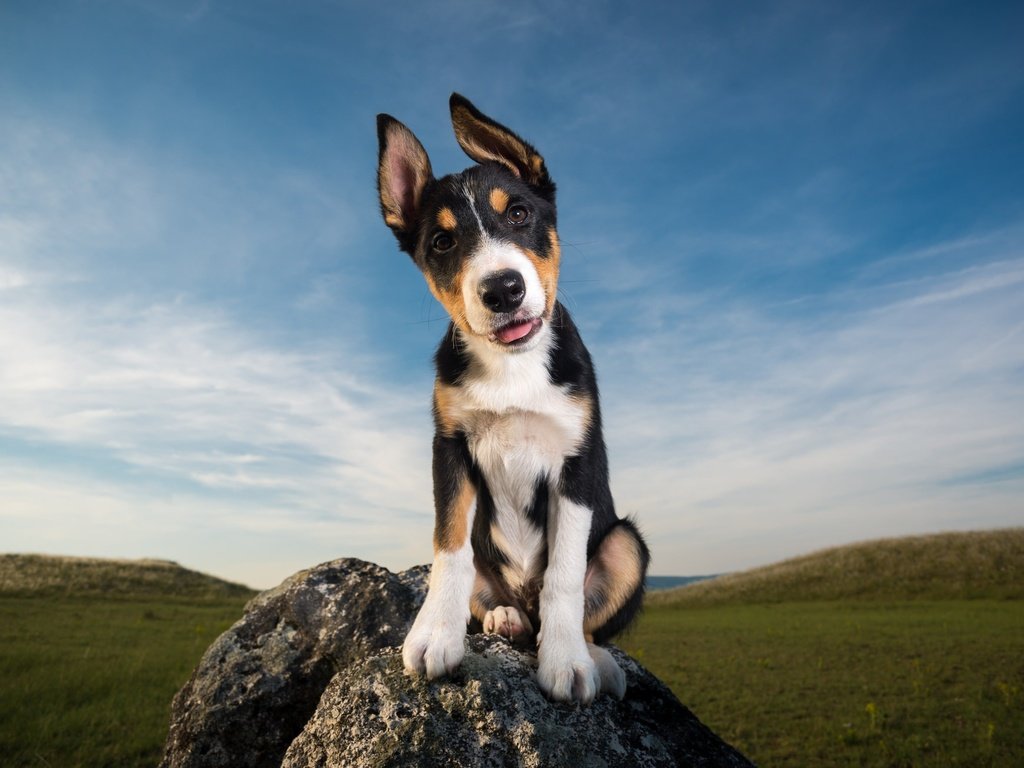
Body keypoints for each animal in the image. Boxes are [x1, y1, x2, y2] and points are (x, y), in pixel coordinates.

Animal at [376, 94, 647, 704]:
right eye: (443, 242)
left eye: (520, 214)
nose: (502, 289)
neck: (512, 367)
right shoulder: (450, 447)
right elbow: (449, 550)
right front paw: (435, 635)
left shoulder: (578, 458)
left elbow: (565, 576)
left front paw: (567, 663)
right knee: (491, 590)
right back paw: (506, 618)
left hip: (627, 544)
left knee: (581, 610)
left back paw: (594, 659)